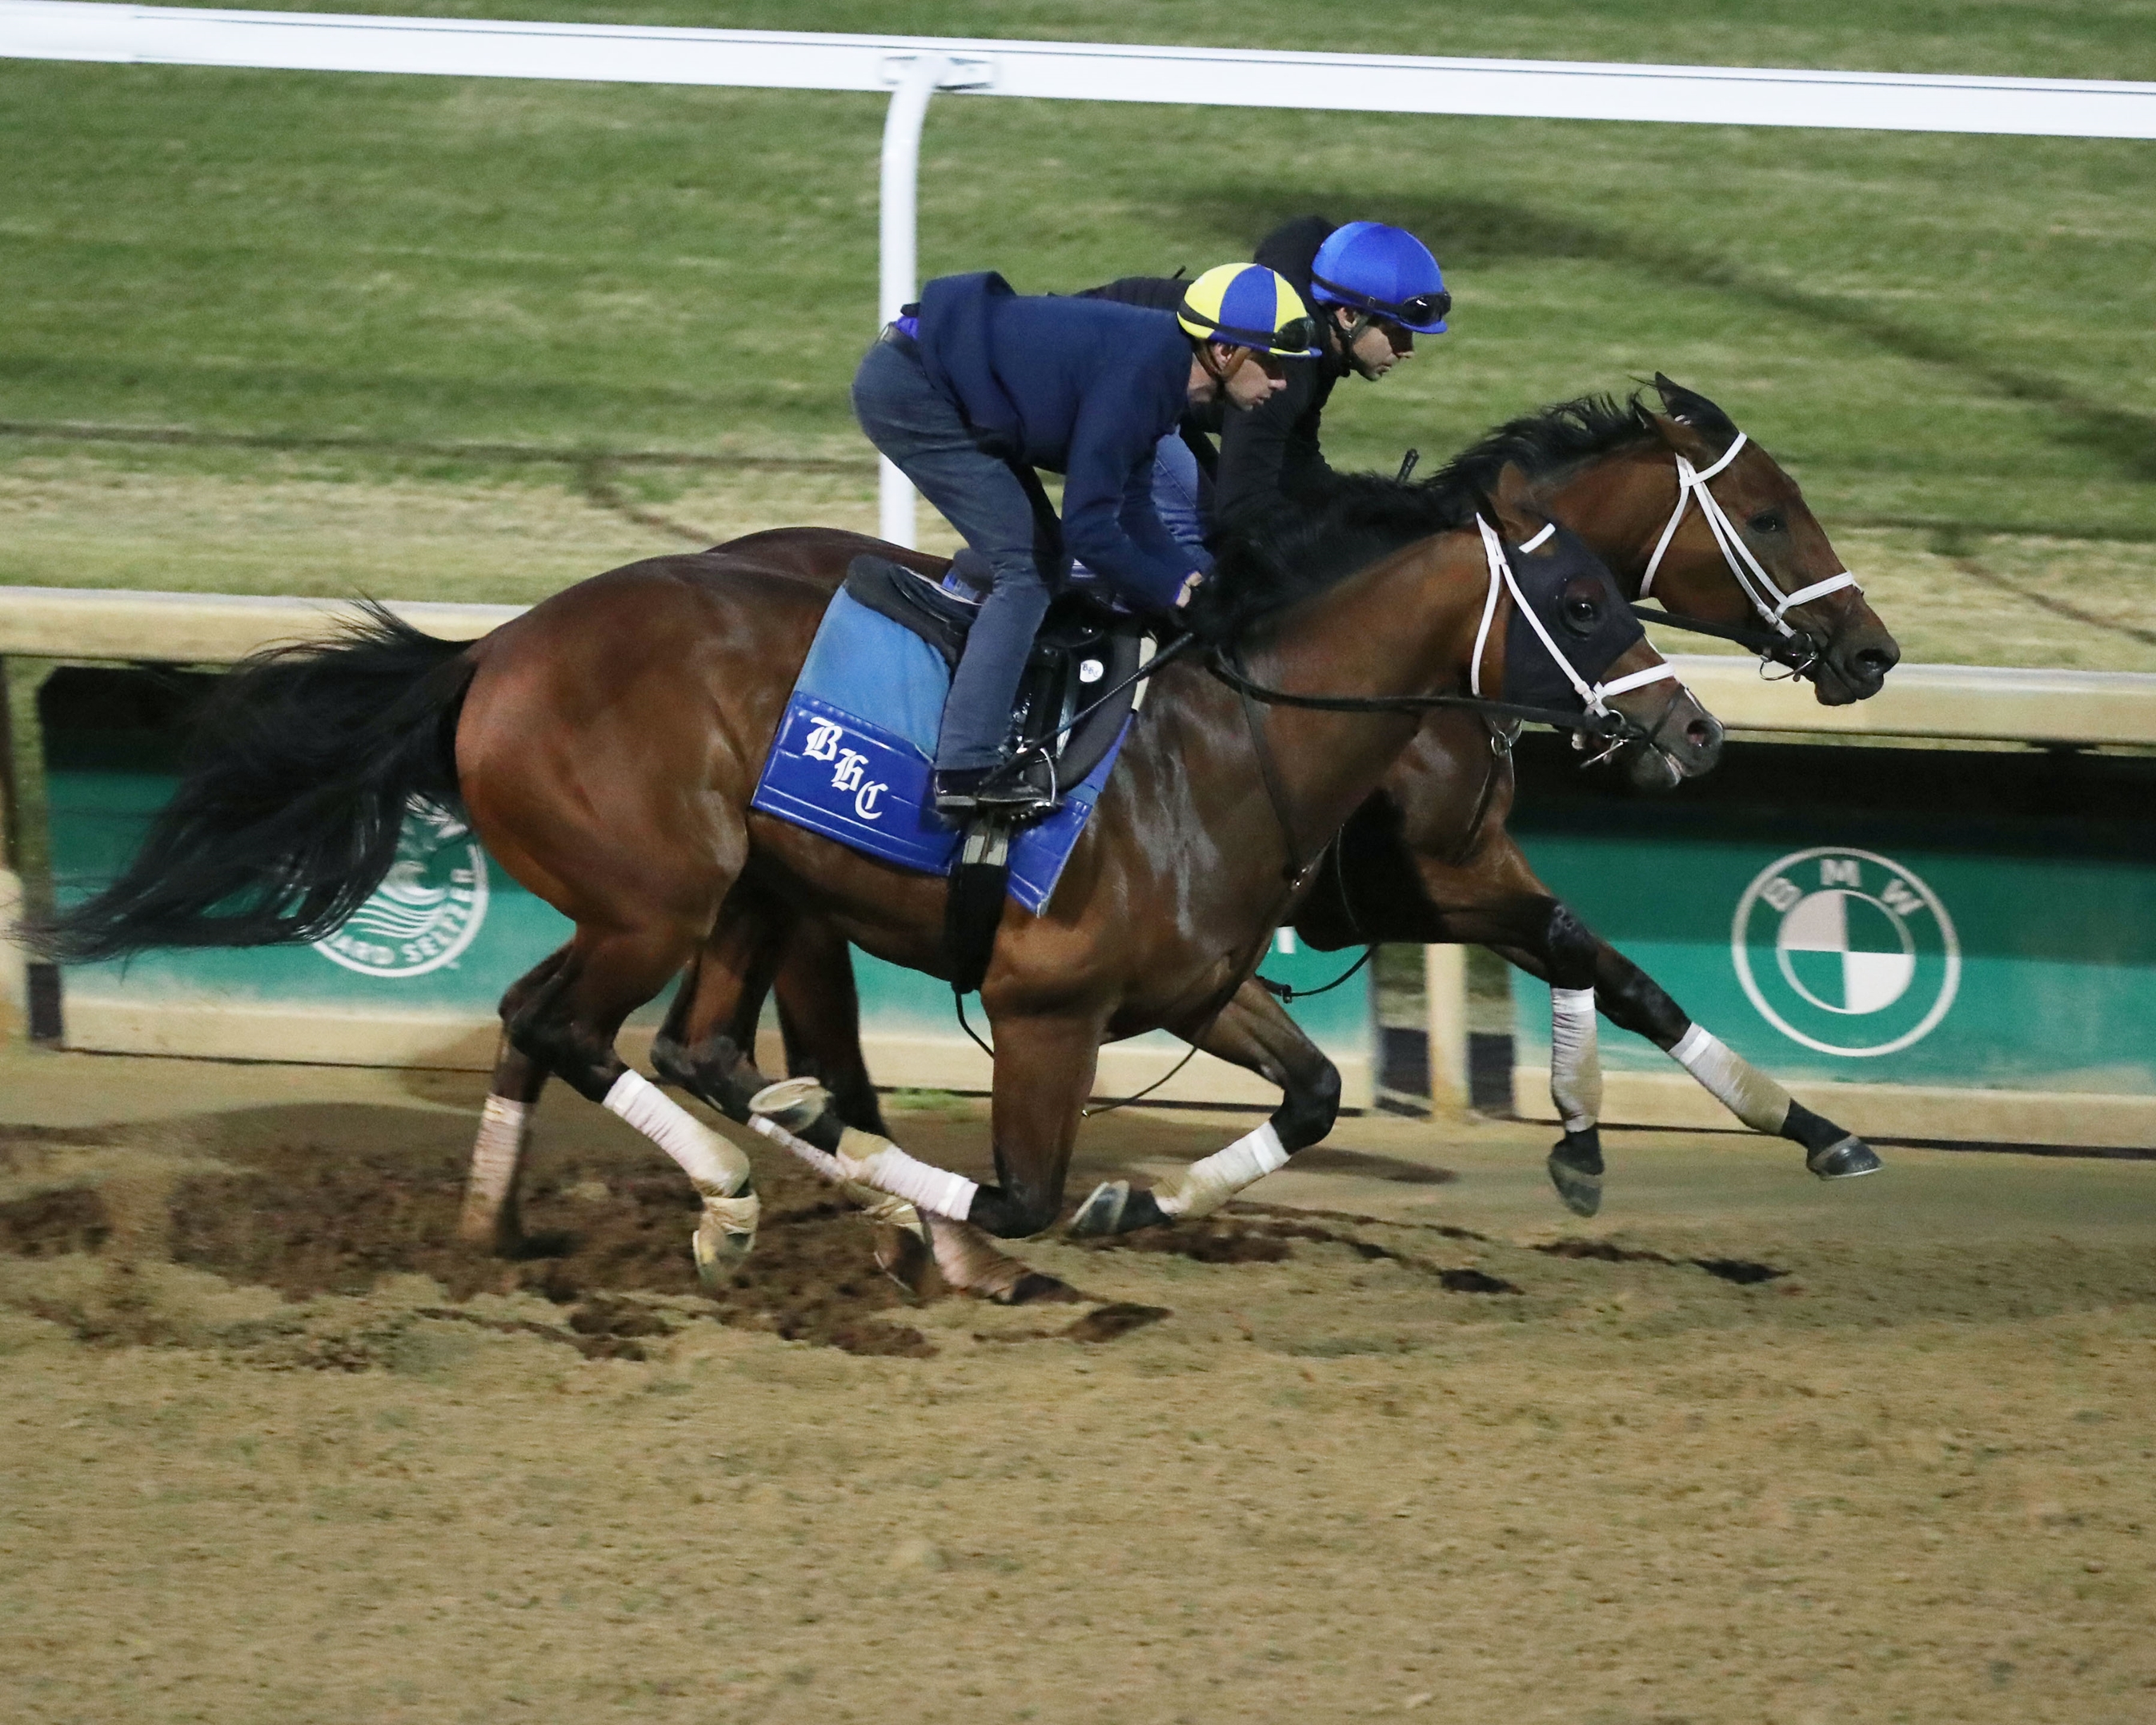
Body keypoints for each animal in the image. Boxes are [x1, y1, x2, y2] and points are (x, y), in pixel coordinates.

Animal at [29, 465, 1716, 1302]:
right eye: (1580, 600)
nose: (1694, 732)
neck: (1228, 741)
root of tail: (492, 655)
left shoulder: (1192, 986)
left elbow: (1303, 1098)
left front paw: (1137, 1197)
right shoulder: (1044, 1005)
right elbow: (1018, 1187)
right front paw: (982, 1228)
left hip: (741, 897)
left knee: (664, 1040)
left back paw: (514, 1227)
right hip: (657, 893)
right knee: (574, 1026)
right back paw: (731, 1204)